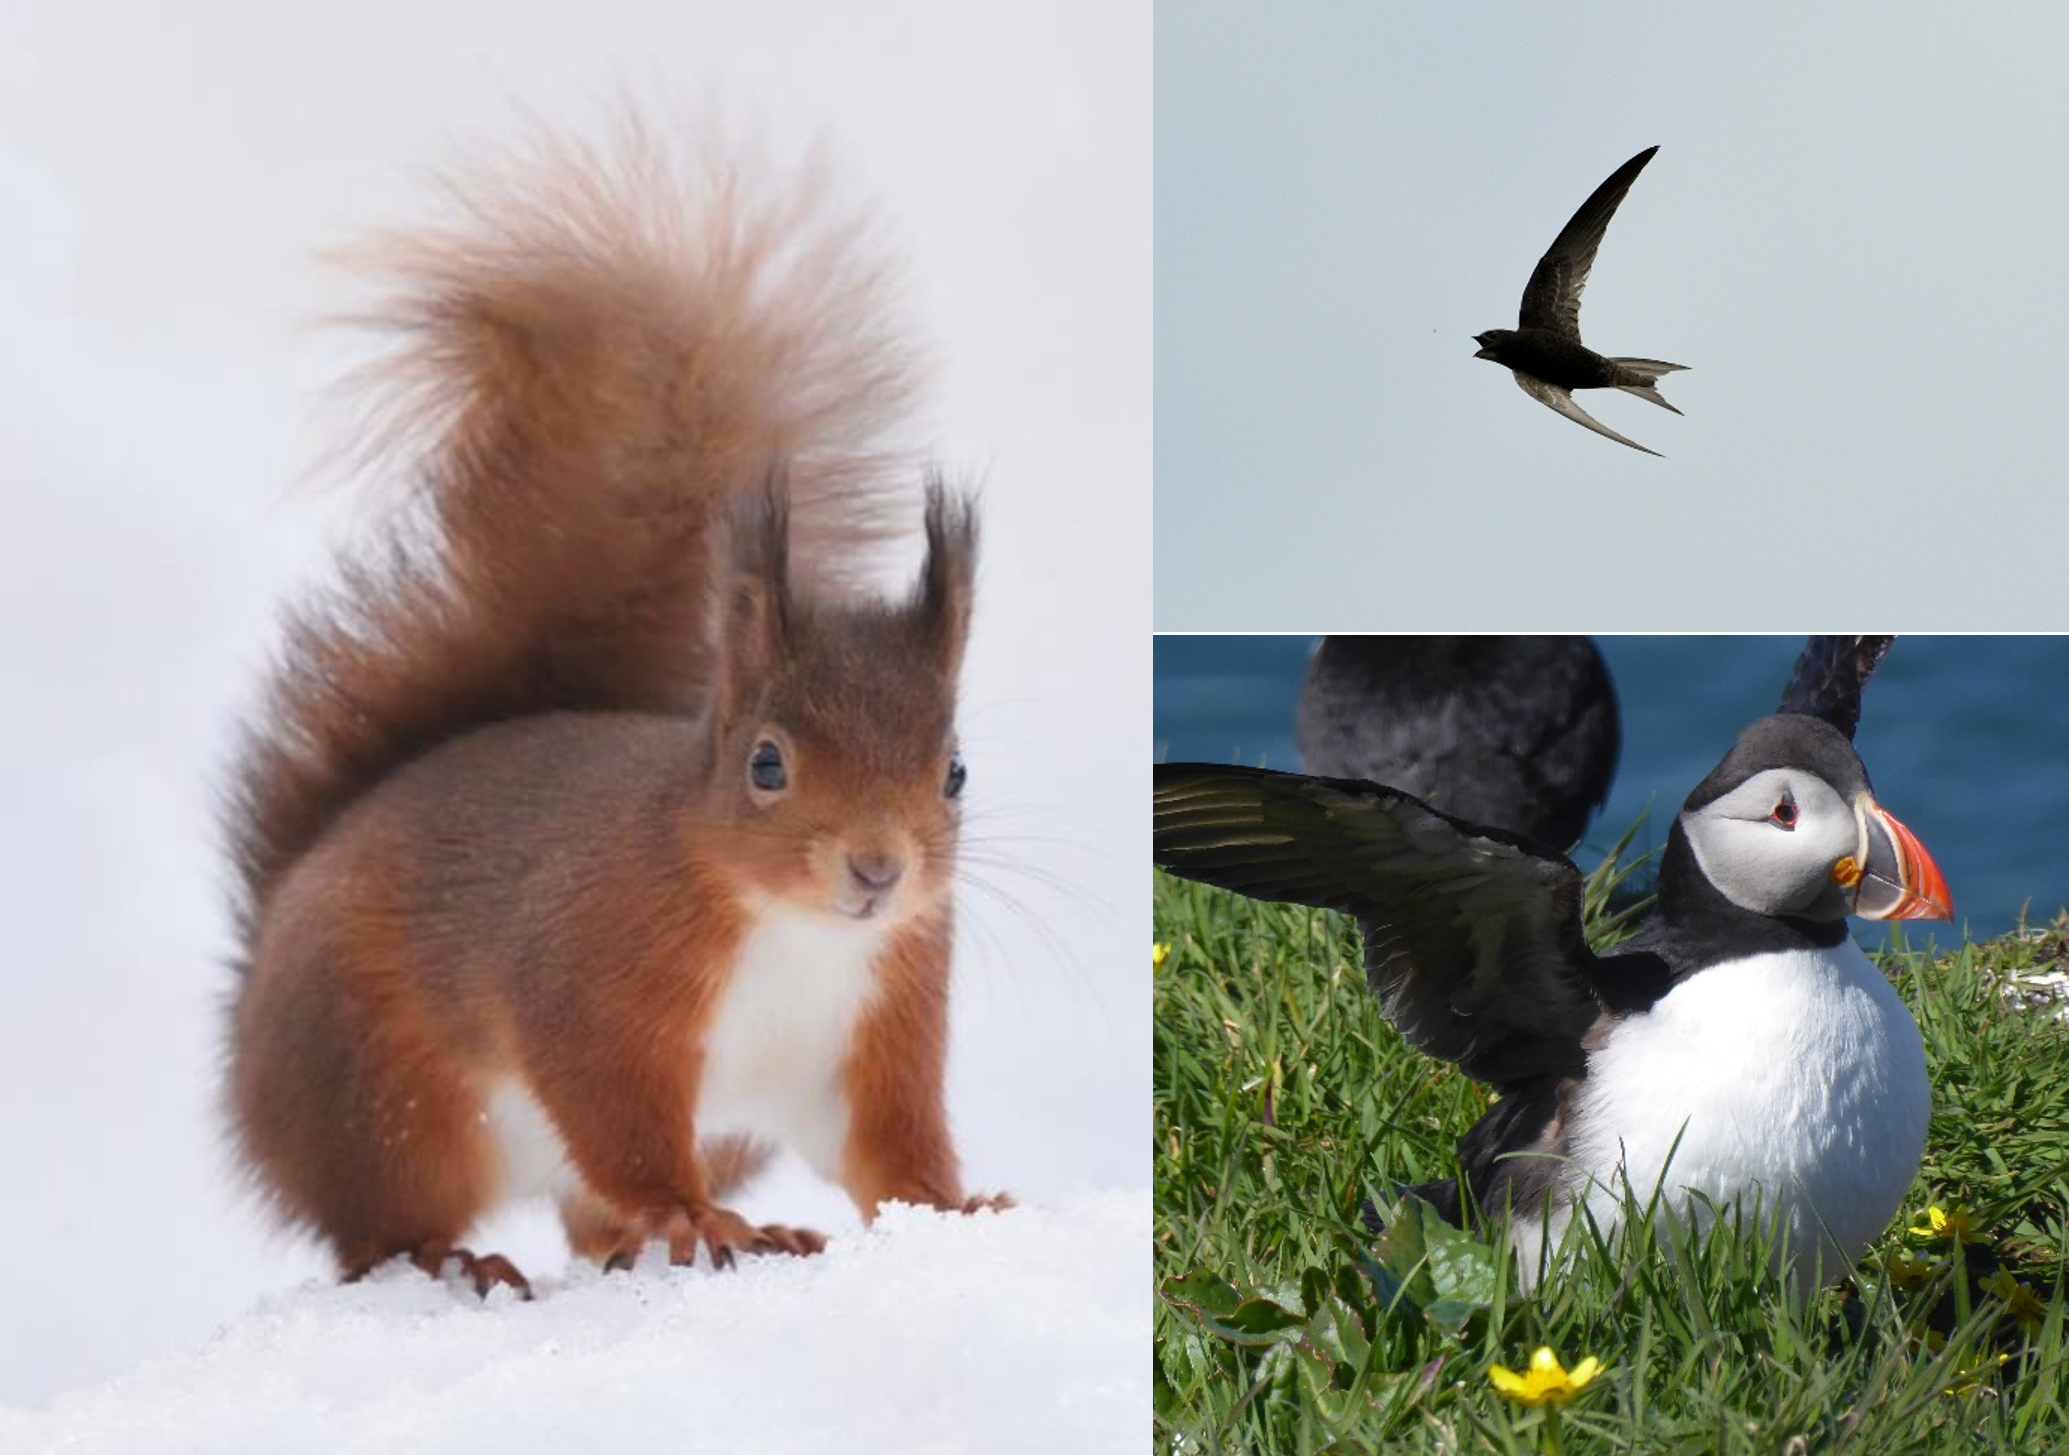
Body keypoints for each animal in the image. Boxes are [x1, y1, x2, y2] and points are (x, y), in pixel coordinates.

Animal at [222, 120, 1007, 1299]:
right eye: (766, 764)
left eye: (953, 771)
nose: (878, 871)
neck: (794, 928)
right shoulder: (593, 974)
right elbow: (612, 1110)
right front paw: (679, 1209)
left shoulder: (880, 1020)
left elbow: (888, 1146)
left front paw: (961, 1208)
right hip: (386, 1096)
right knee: (375, 1233)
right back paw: (459, 1257)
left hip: (724, 1128)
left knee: (589, 1226)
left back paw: (751, 1233)